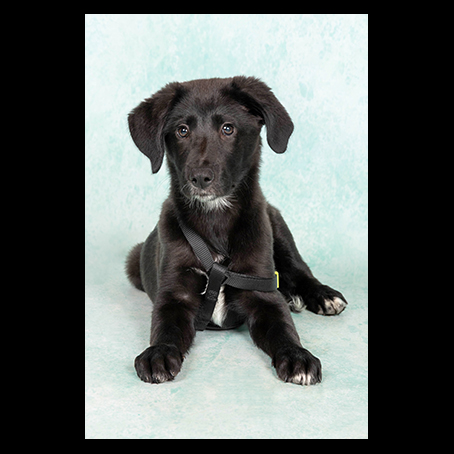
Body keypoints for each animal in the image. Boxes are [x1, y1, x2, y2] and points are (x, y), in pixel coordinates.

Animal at [126, 76, 347, 386]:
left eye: (227, 129)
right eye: (182, 131)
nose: (200, 178)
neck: (215, 221)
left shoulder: (262, 292)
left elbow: (284, 328)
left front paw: (298, 356)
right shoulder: (174, 295)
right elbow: (164, 326)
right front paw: (159, 352)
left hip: (275, 222)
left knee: (298, 268)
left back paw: (321, 295)